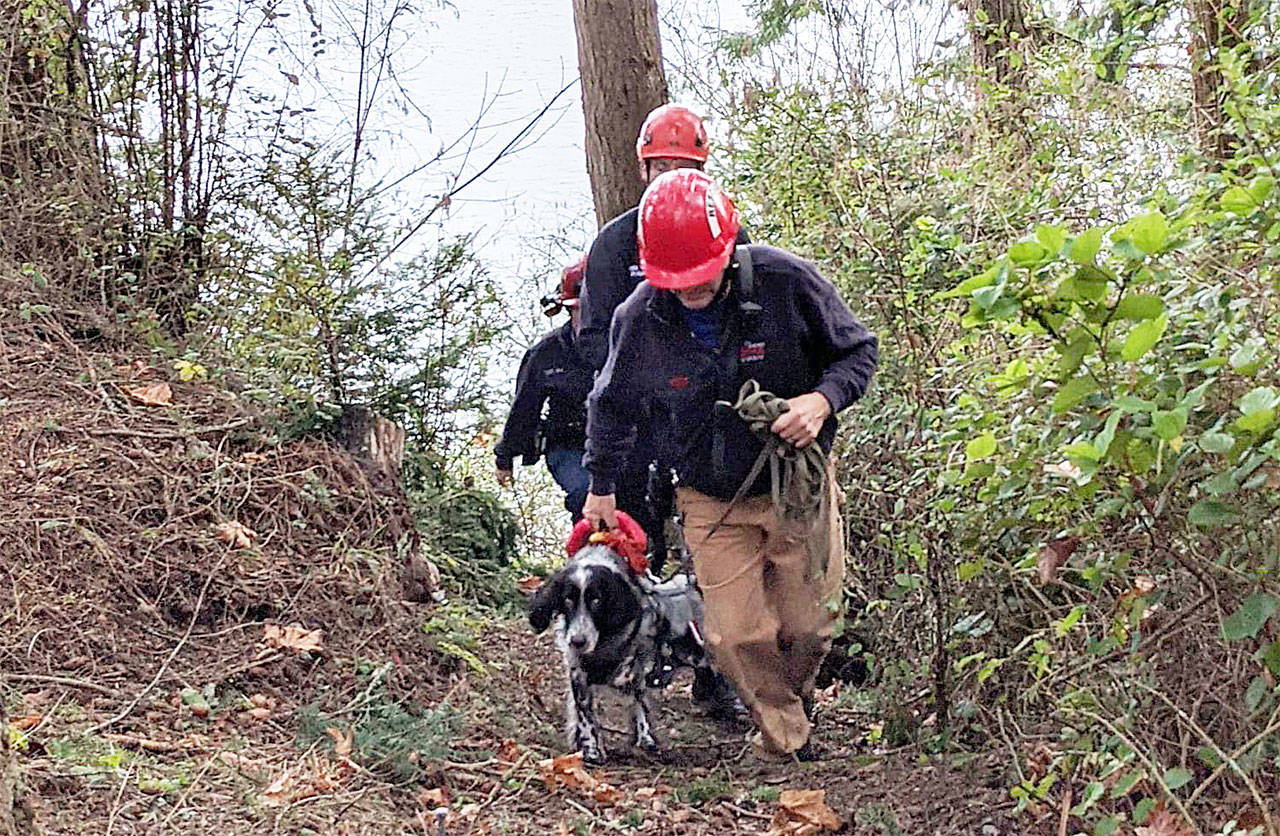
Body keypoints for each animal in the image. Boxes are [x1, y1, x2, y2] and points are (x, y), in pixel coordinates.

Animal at [527, 540, 742, 763]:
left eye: (596, 600)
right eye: (567, 599)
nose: (578, 641)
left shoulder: (637, 661)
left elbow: (638, 700)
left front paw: (645, 737)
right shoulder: (578, 670)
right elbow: (584, 713)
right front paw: (590, 748)